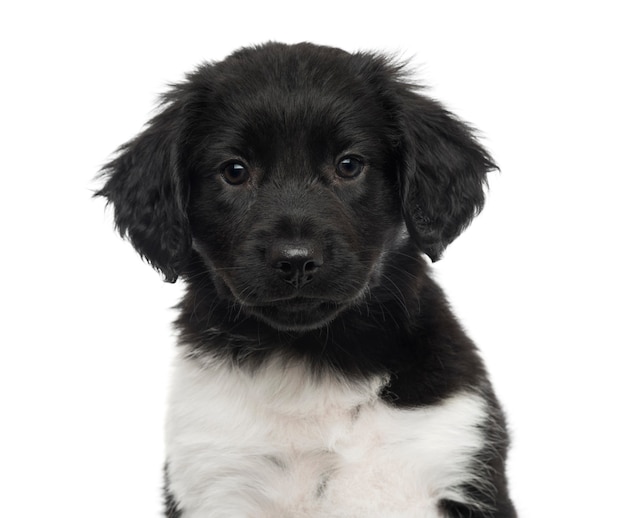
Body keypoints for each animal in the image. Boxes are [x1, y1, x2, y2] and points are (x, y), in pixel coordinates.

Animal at [97, 41, 516, 518]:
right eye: (235, 171)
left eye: (349, 165)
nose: (296, 260)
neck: (313, 362)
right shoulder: (213, 474)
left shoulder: (454, 449)